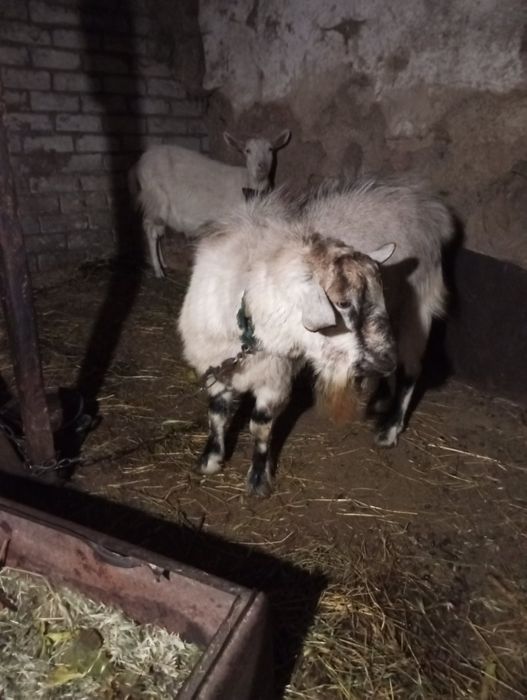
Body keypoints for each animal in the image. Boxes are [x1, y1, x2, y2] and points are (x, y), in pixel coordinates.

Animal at [130, 130, 291, 278]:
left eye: (270, 149)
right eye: (247, 150)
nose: (261, 167)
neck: (249, 185)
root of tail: (142, 160)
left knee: (157, 231)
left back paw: (163, 263)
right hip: (155, 198)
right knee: (151, 230)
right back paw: (158, 270)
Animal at [178, 192, 399, 497]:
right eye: (343, 303)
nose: (388, 360)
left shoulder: (274, 379)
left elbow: (260, 426)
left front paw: (259, 480)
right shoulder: (215, 369)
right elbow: (217, 415)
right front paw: (210, 460)